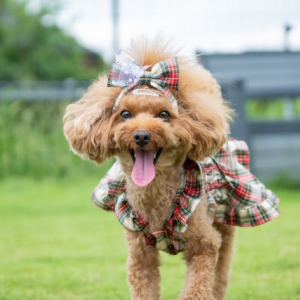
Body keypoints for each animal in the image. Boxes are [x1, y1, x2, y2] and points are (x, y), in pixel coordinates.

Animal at [62, 37, 280, 300]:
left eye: (164, 114)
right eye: (125, 113)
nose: (142, 135)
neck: (156, 196)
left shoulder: (205, 245)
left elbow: (197, 287)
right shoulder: (140, 254)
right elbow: (144, 286)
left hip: (226, 224)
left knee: (221, 272)